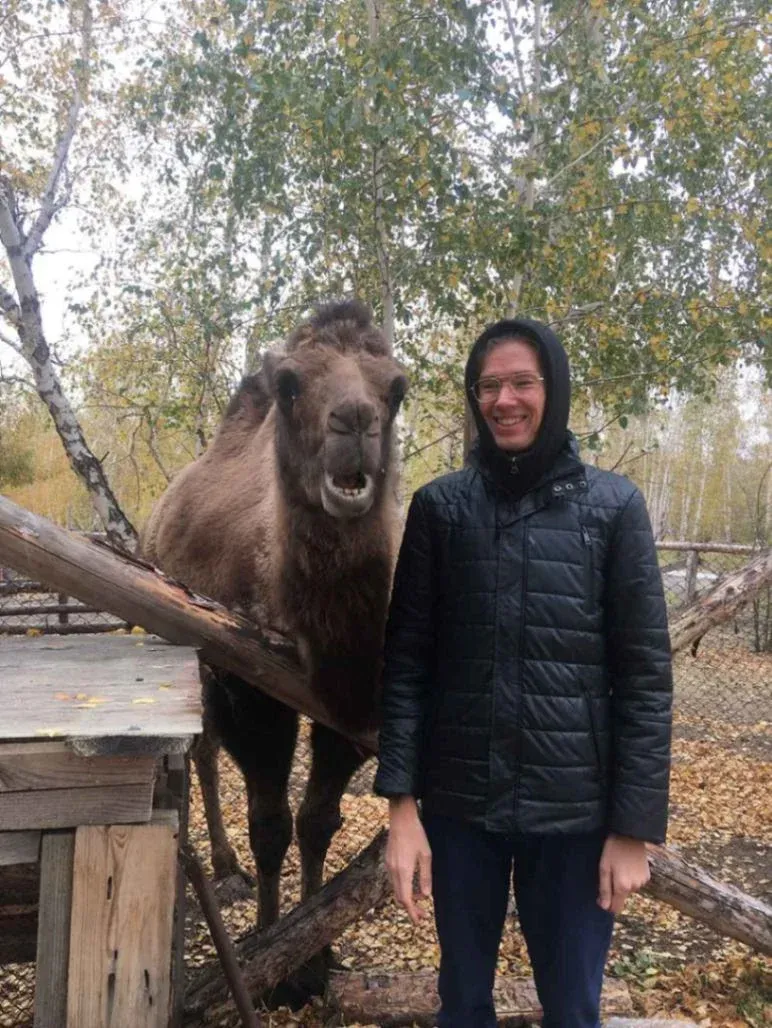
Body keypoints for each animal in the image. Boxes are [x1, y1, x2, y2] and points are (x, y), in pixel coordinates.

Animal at [144, 300, 411, 945]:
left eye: (396, 389)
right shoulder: (250, 690)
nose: (355, 421)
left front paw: (314, 943)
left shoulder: (355, 708)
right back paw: (221, 866)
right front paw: (269, 936)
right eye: (290, 385)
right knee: (203, 754)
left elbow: (318, 820)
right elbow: (270, 826)